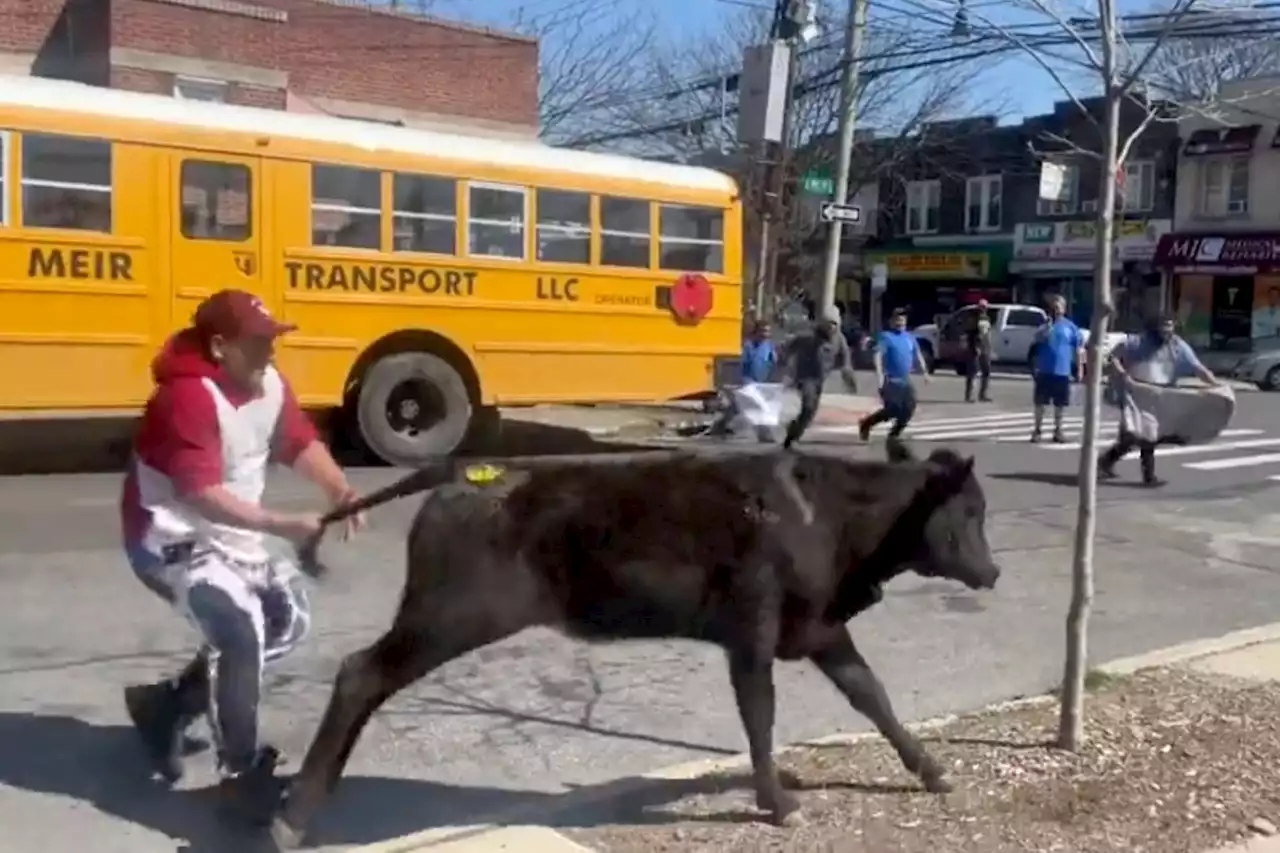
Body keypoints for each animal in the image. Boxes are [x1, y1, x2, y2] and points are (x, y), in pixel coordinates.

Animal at [267, 440, 998, 845]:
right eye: (969, 511)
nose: (992, 572)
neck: (829, 523)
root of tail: (459, 469)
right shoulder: (751, 630)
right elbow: (759, 714)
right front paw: (779, 804)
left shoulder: (817, 626)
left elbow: (870, 693)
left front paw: (932, 770)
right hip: (451, 614)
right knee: (360, 673)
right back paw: (295, 813)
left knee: (364, 678)